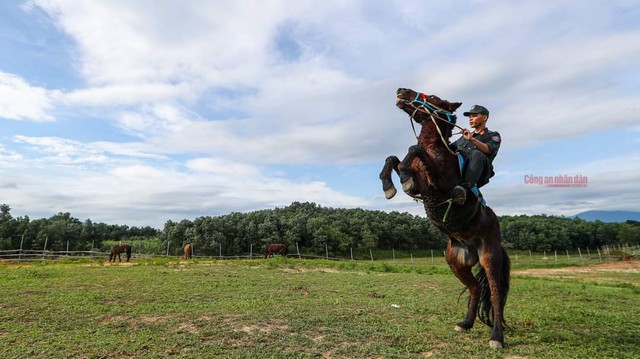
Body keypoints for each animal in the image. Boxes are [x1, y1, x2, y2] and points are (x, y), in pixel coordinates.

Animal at [380, 88, 510, 350]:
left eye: (432, 97)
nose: (401, 91)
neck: (437, 149)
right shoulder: (420, 187)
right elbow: (393, 159)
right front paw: (389, 185)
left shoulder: (438, 184)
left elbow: (414, 149)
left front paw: (402, 178)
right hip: (455, 262)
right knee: (474, 289)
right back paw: (466, 323)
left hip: (489, 258)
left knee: (494, 294)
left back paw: (496, 338)